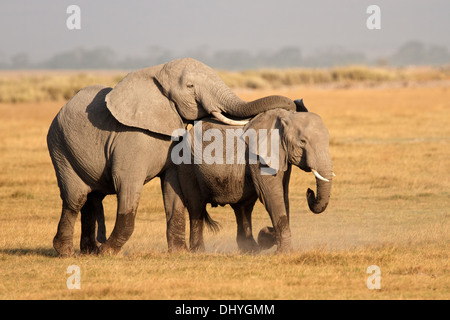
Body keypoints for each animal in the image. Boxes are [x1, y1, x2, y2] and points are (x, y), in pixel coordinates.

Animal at [47, 58, 298, 258]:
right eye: (190, 86)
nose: (296, 104)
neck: (156, 73)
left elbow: (173, 188)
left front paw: (179, 252)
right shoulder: (130, 140)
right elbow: (127, 186)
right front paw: (108, 252)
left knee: (92, 198)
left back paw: (88, 251)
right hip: (60, 146)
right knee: (76, 198)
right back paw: (67, 252)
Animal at [174, 106, 332, 254]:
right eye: (302, 142)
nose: (309, 191)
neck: (285, 117)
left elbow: (283, 195)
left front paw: (267, 236)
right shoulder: (257, 157)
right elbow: (271, 196)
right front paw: (282, 250)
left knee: (243, 208)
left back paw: (250, 250)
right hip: (187, 166)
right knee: (196, 207)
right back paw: (199, 251)